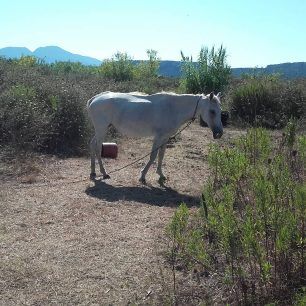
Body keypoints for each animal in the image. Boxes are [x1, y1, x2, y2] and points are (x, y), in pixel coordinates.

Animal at [87, 91, 224, 184]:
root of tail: (95, 98)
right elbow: (153, 156)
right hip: (102, 129)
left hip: (100, 130)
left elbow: (161, 156)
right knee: (97, 147)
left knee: (92, 145)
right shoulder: (158, 137)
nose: (219, 133)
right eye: (212, 111)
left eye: (220, 111)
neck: (173, 108)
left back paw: (93, 172)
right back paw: (104, 173)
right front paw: (142, 176)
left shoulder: (165, 138)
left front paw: (161, 175)